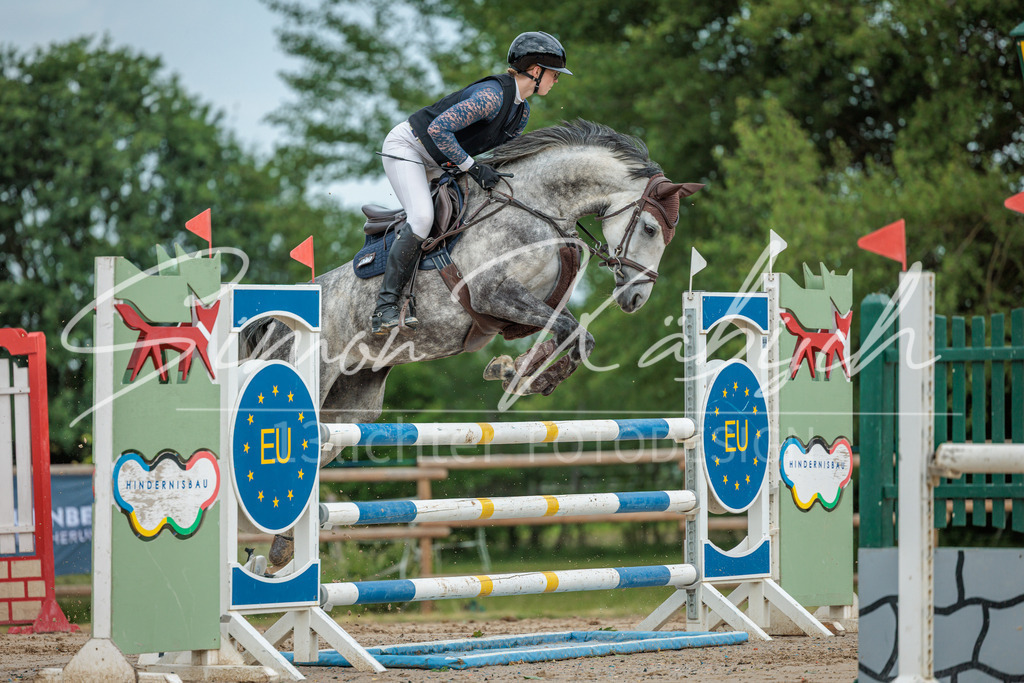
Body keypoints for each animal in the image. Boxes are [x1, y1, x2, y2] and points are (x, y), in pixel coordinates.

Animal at [249, 120, 702, 428]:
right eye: (650, 229)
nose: (636, 299)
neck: (539, 206)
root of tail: (276, 321)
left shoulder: (522, 309)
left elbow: (574, 336)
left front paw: (516, 372)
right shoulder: (492, 294)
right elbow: (572, 331)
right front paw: (515, 374)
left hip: (351, 406)